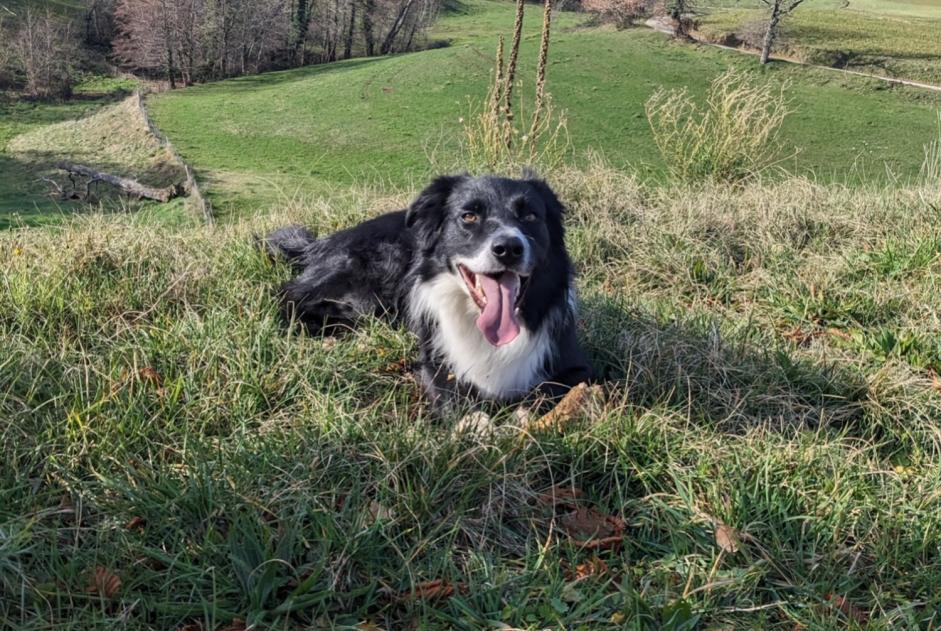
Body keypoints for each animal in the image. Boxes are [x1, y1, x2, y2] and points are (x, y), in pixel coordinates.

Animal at [264, 173, 588, 410]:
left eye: (530, 216)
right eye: (469, 216)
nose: (508, 248)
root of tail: (320, 243)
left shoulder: (576, 368)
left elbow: (547, 393)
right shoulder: (435, 361)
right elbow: (452, 395)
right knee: (287, 295)